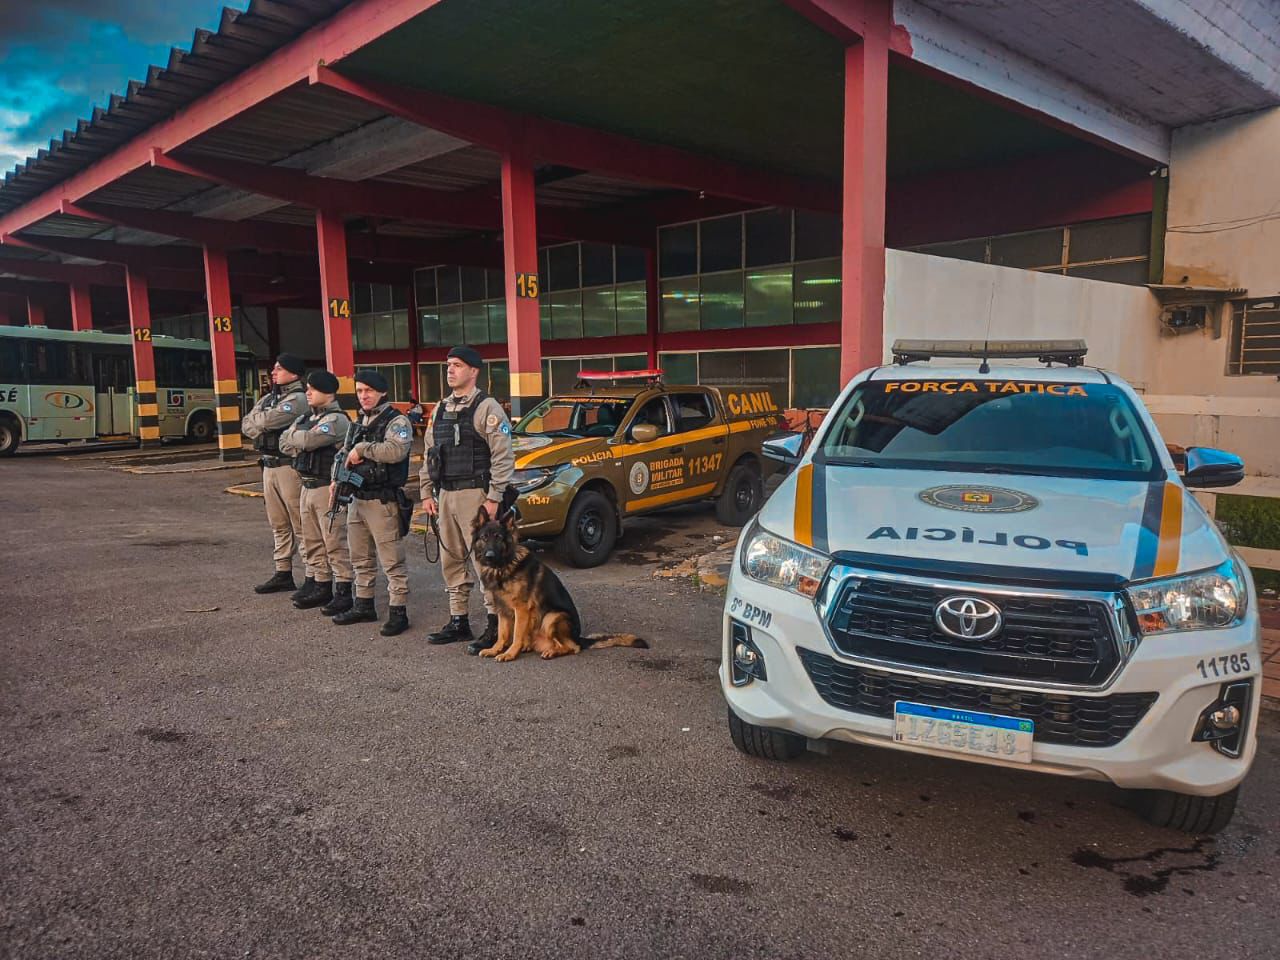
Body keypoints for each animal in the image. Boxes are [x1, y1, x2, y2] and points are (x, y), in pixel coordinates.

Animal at [471, 512, 650, 660]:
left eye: (499, 537)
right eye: (485, 537)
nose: (489, 556)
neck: (503, 566)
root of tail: (578, 637)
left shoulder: (521, 609)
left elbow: (516, 635)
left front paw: (509, 653)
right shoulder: (502, 610)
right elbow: (502, 634)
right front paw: (495, 649)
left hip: (552, 617)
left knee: (573, 647)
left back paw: (551, 652)